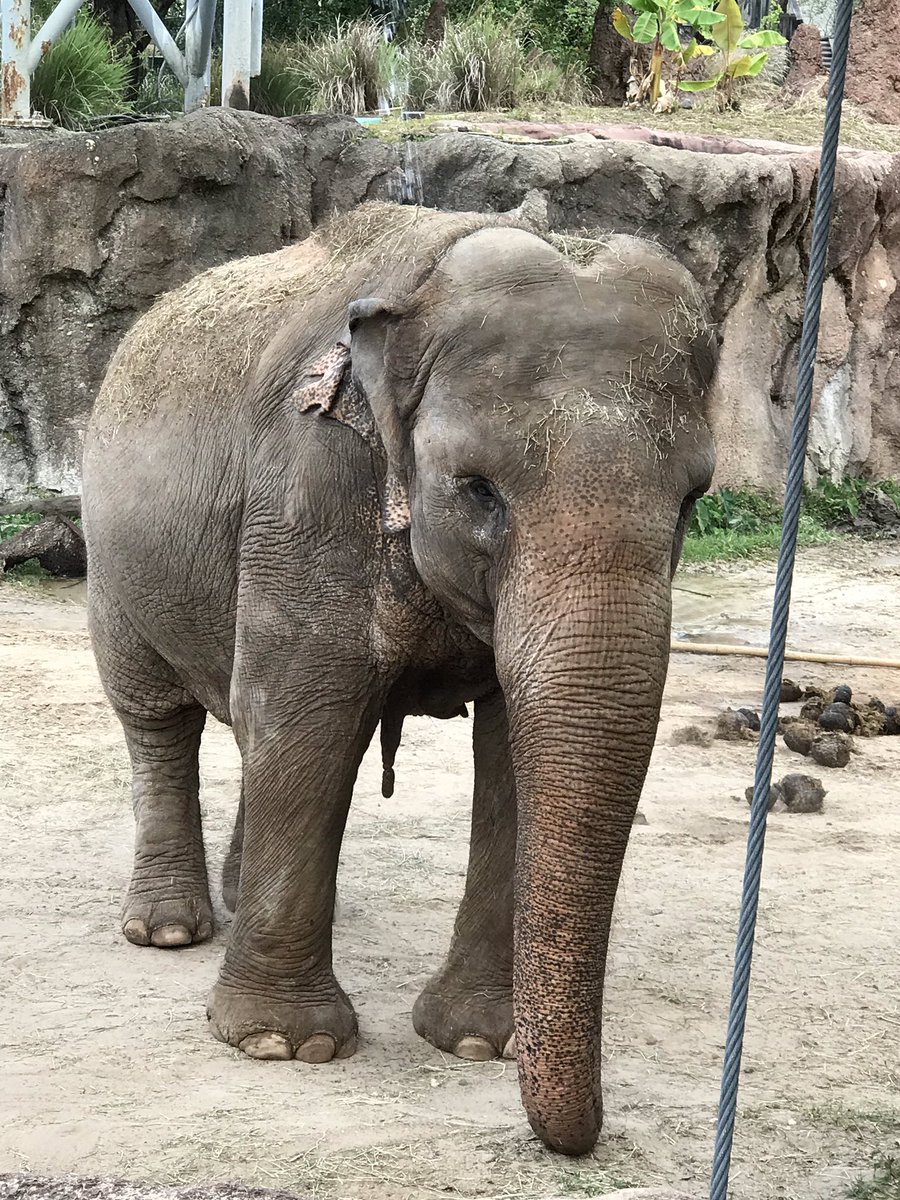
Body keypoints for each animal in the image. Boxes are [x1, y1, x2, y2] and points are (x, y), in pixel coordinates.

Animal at [82, 201, 718, 1157]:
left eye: (693, 499)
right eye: (478, 489)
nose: (575, 1144)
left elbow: (510, 754)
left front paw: (480, 1043)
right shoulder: (308, 487)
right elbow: (308, 719)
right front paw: (284, 1046)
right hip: (113, 557)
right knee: (160, 718)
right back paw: (167, 930)